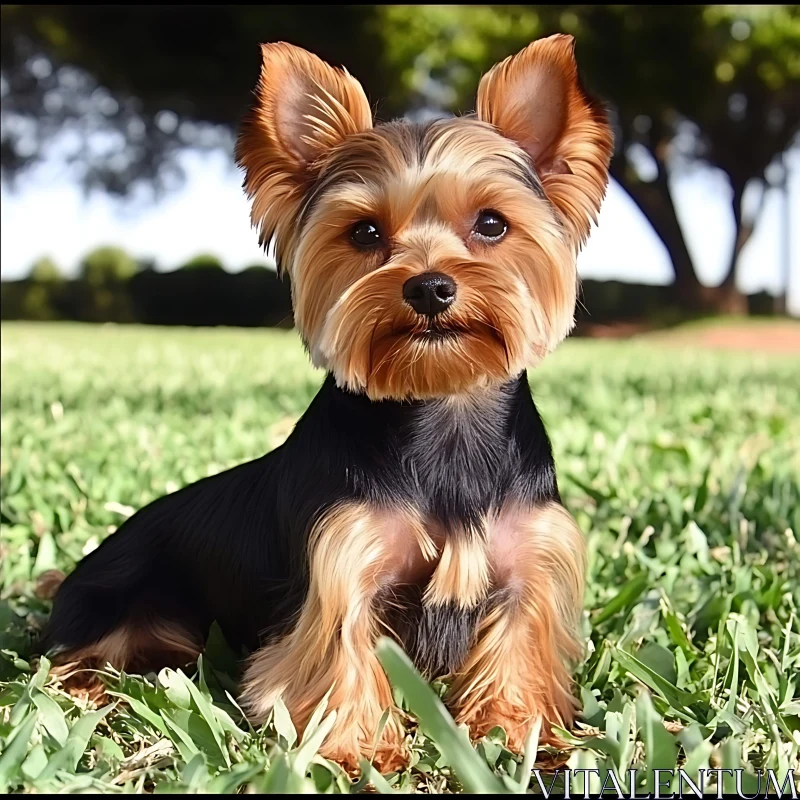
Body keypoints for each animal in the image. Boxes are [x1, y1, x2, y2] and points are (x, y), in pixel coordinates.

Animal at [39, 34, 612, 772]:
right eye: (364, 233)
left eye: (491, 224)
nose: (429, 287)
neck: (441, 410)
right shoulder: (343, 562)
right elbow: (342, 652)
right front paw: (356, 748)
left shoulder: (526, 565)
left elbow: (516, 649)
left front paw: (516, 732)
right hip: (119, 606)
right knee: (70, 661)